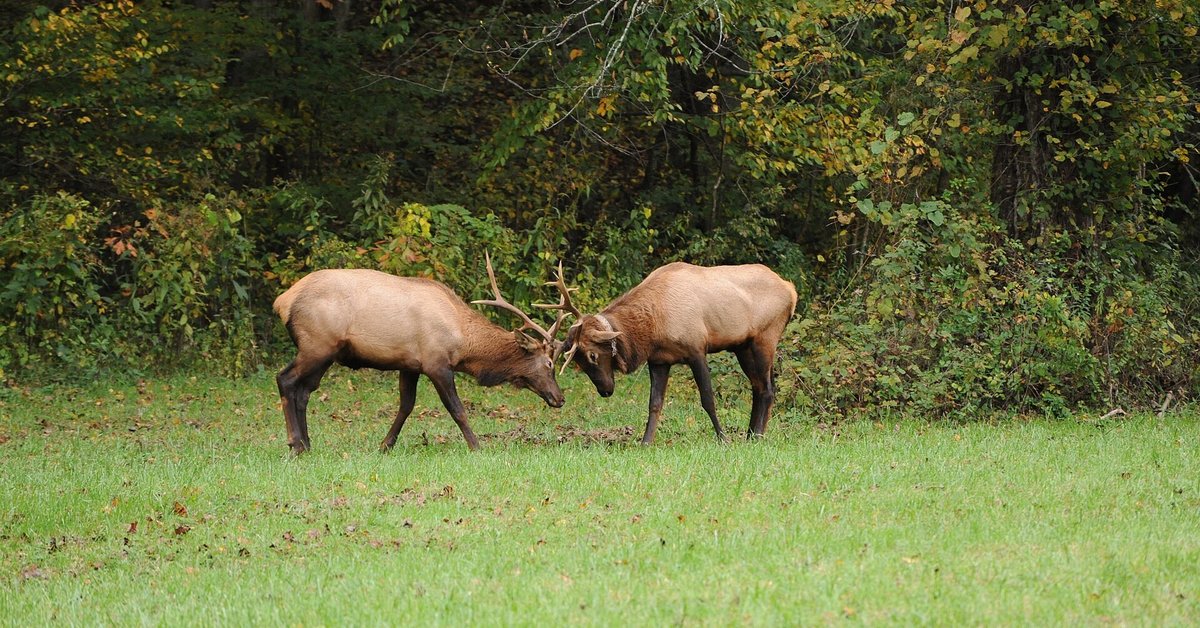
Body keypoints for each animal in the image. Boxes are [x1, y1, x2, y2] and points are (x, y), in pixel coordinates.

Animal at [272, 253, 575, 455]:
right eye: (549, 363)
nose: (560, 398)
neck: (463, 342)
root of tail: (282, 301)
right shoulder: (436, 362)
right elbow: (457, 409)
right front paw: (477, 446)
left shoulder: (409, 365)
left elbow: (406, 405)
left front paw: (385, 445)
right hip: (317, 344)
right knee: (285, 379)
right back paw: (295, 444)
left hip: (325, 353)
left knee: (305, 391)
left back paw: (308, 444)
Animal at [555, 262, 797, 444]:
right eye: (578, 361)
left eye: (592, 355)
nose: (605, 390)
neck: (653, 328)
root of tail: (791, 290)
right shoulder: (659, 361)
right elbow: (654, 404)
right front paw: (645, 442)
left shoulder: (697, 350)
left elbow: (707, 399)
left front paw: (723, 438)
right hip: (743, 346)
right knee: (759, 387)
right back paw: (751, 435)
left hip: (765, 338)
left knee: (767, 389)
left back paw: (756, 436)